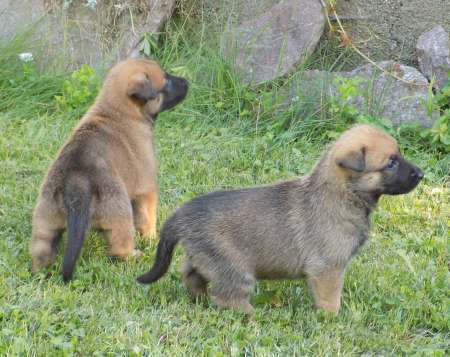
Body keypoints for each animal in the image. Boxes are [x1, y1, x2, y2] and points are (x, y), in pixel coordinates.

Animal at [29, 58, 188, 280]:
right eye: (166, 81)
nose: (187, 82)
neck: (117, 110)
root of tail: (76, 181)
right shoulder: (146, 189)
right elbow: (148, 218)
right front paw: (151, 239)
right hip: (120, 212)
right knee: (120, 248)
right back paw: (134, 255)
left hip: (46, 219)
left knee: (41, 248)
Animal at [136, 124, 422, 312]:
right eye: (391, 162)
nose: (421, 174)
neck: (342, 193)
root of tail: (181, 215)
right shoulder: (328, 268)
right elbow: (330, 300)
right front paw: (334, 319)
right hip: (236, 269)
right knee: (228, 297)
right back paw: (252, 315)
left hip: (206, 257)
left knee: (190, 274)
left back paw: (200, 298)